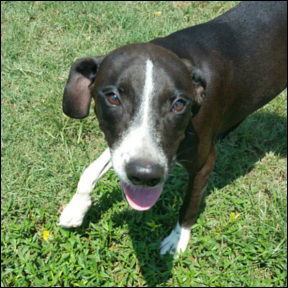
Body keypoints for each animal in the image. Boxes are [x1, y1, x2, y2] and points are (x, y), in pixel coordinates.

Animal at [58, 1, 286, 255]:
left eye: (179, 104)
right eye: (113, 98)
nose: (145, 175)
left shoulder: (203, 163)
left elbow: (189, 205)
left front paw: (178, 240)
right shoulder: (122, 145)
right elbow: (92, 169)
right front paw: (76, 207)